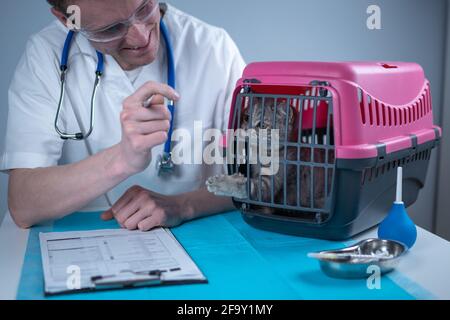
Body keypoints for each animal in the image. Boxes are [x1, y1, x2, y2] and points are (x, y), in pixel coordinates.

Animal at [207, 61, 442, 240]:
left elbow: (249, 187)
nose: (246, 129)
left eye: (263, 125)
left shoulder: (269, 184)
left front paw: (222, 183)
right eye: (246, 116)